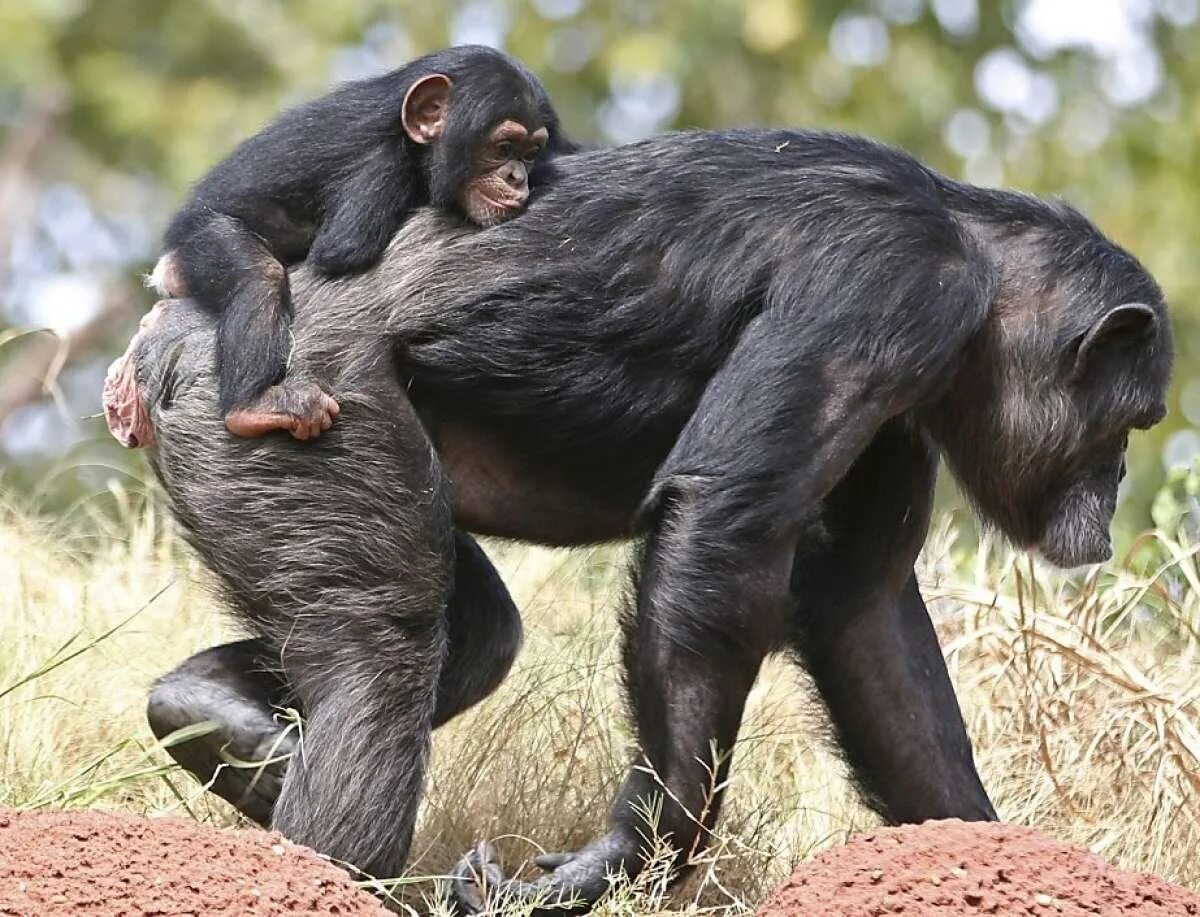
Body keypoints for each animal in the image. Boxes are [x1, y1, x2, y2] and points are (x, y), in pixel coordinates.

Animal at [103, 127, 1171, 912]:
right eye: (1131, 420)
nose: (1116, 481)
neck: (978, 264)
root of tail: (166, 333)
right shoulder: (890, 287)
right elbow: (726, 521)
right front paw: (629, 849)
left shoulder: (901, 416)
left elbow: (861, 618)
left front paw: (999, 852)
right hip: (297, 411)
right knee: (383, 649)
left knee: (472, 634)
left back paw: (213, 719)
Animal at [148, 45, 571, 444]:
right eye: (503, 148)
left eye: (530, 153)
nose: (517, 176)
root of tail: (168, 262)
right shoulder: (379, 170)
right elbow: (342, 250)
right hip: (200, 242)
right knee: (258, 276)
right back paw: (253, 406)